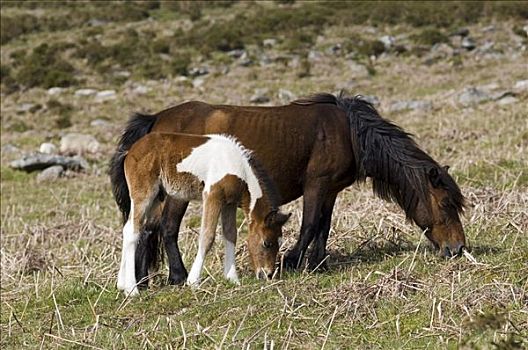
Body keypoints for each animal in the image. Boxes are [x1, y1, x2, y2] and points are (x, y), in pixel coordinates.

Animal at [116, 132, 288, 296]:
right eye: (267, 243)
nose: (268, 274)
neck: (238, 168)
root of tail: (130, 152)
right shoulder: (213, 195)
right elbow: (207, 236)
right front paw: (193, 281)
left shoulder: (229, 203)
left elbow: (230, 234)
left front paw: (232, 278)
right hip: (144, 194)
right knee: (133, 231)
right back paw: (132, 290)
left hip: (157, 197)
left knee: (128, 228)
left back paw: (121, 284)